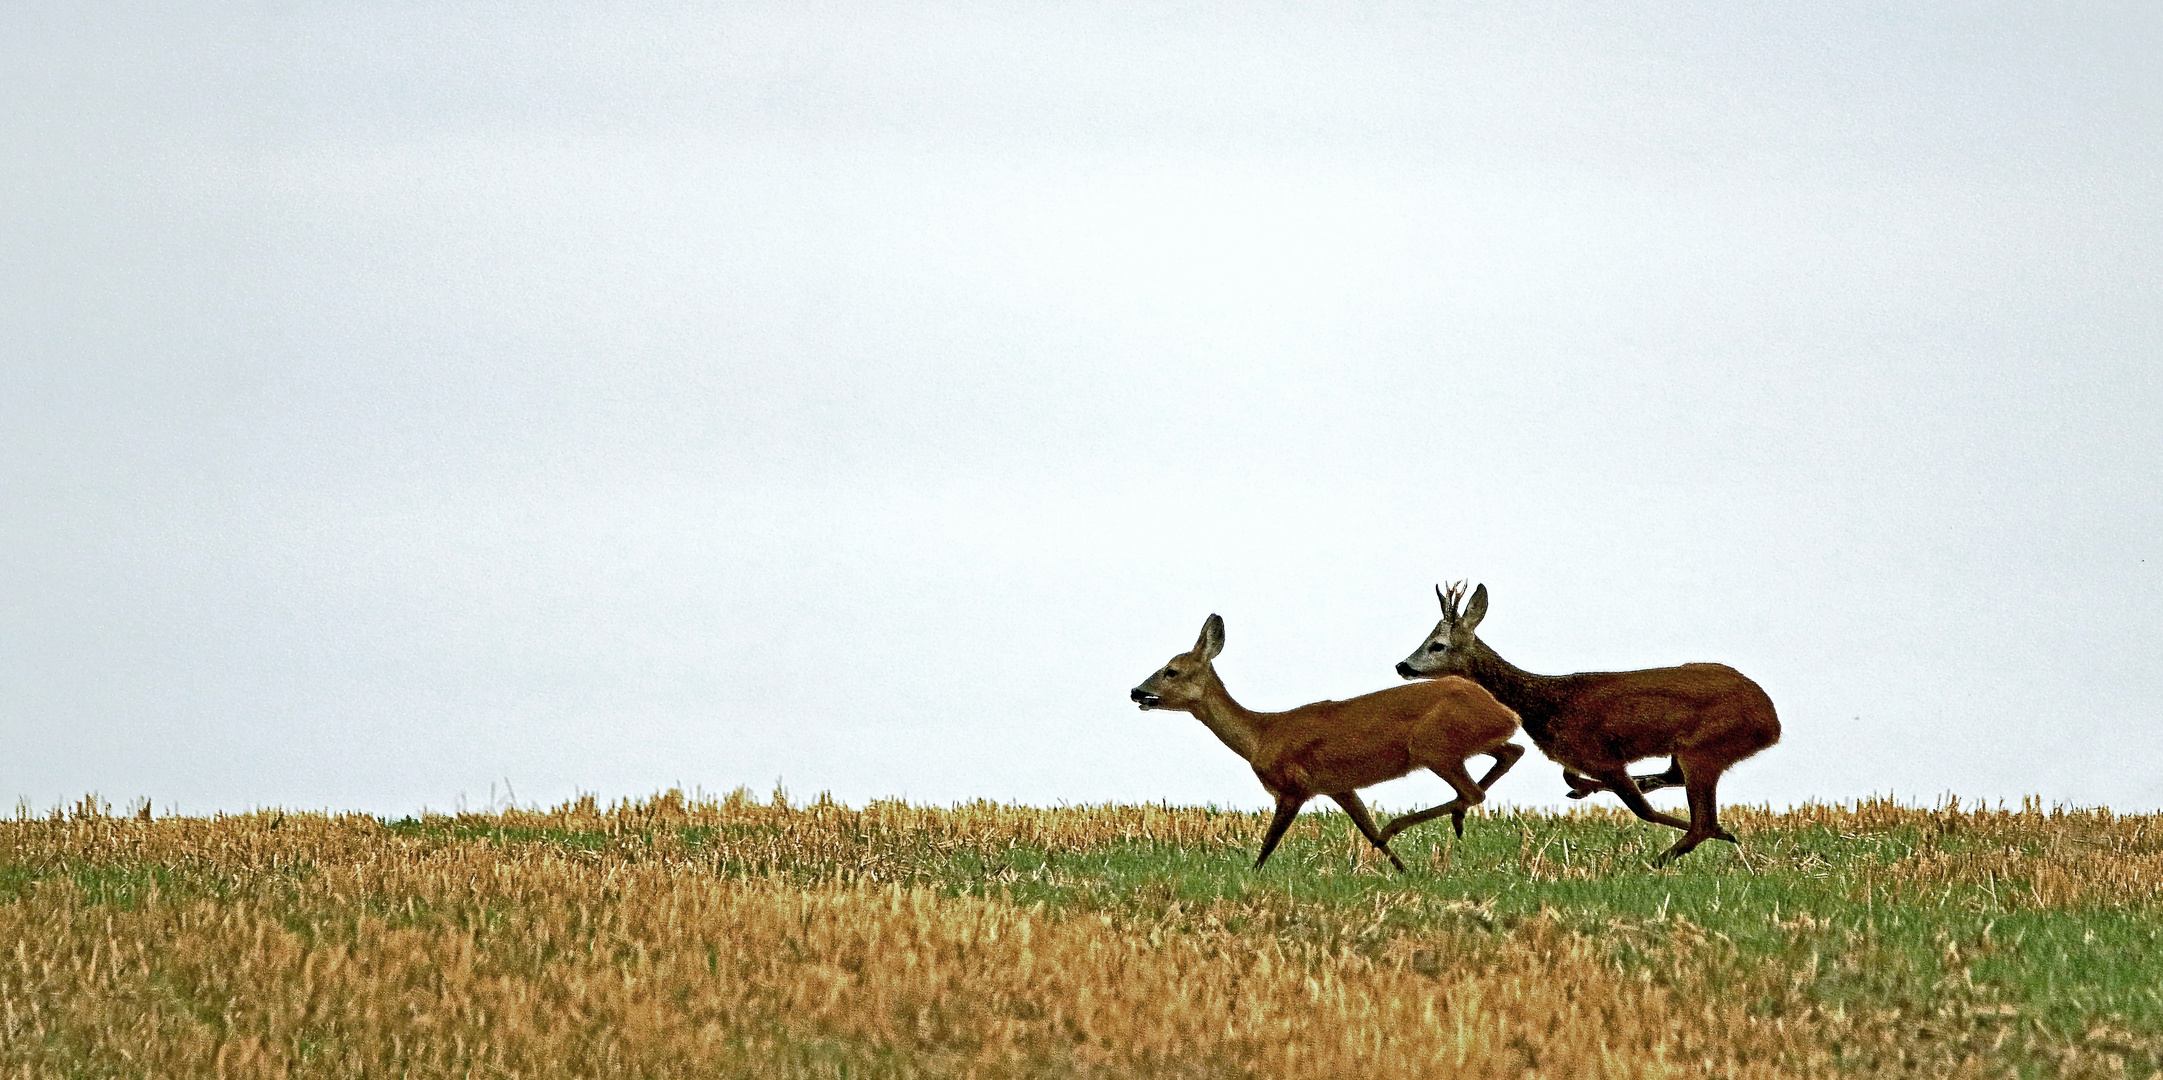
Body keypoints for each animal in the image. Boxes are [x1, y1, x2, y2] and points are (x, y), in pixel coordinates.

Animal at [1133, 614, 1522, 874]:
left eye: (1171, 670)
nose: (1137, 691)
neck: (1261, 735)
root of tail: (1506, 712)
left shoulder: (1294, 785)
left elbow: (1269, 843)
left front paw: (1251, 875)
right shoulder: (1339, 786)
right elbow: (1366, 828)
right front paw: (1404, 870)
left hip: (1433, 745)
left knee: (1473, 791)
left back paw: (1407, 824)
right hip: (1468, 742)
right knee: (1510, 753)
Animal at [1392, 584, 1782, 870]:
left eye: (1437, 645)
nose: (1402, 665)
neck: (1542, 705)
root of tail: (1772, 721)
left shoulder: (1599, 755)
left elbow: (1643, 811)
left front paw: (1726, 834)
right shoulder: (1591, 759)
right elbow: (1577, 777)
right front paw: (1582, 788)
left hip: (1706, 745)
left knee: (1702, 820)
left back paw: (1668, 855)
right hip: (1690, 749)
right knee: (1676, 783)